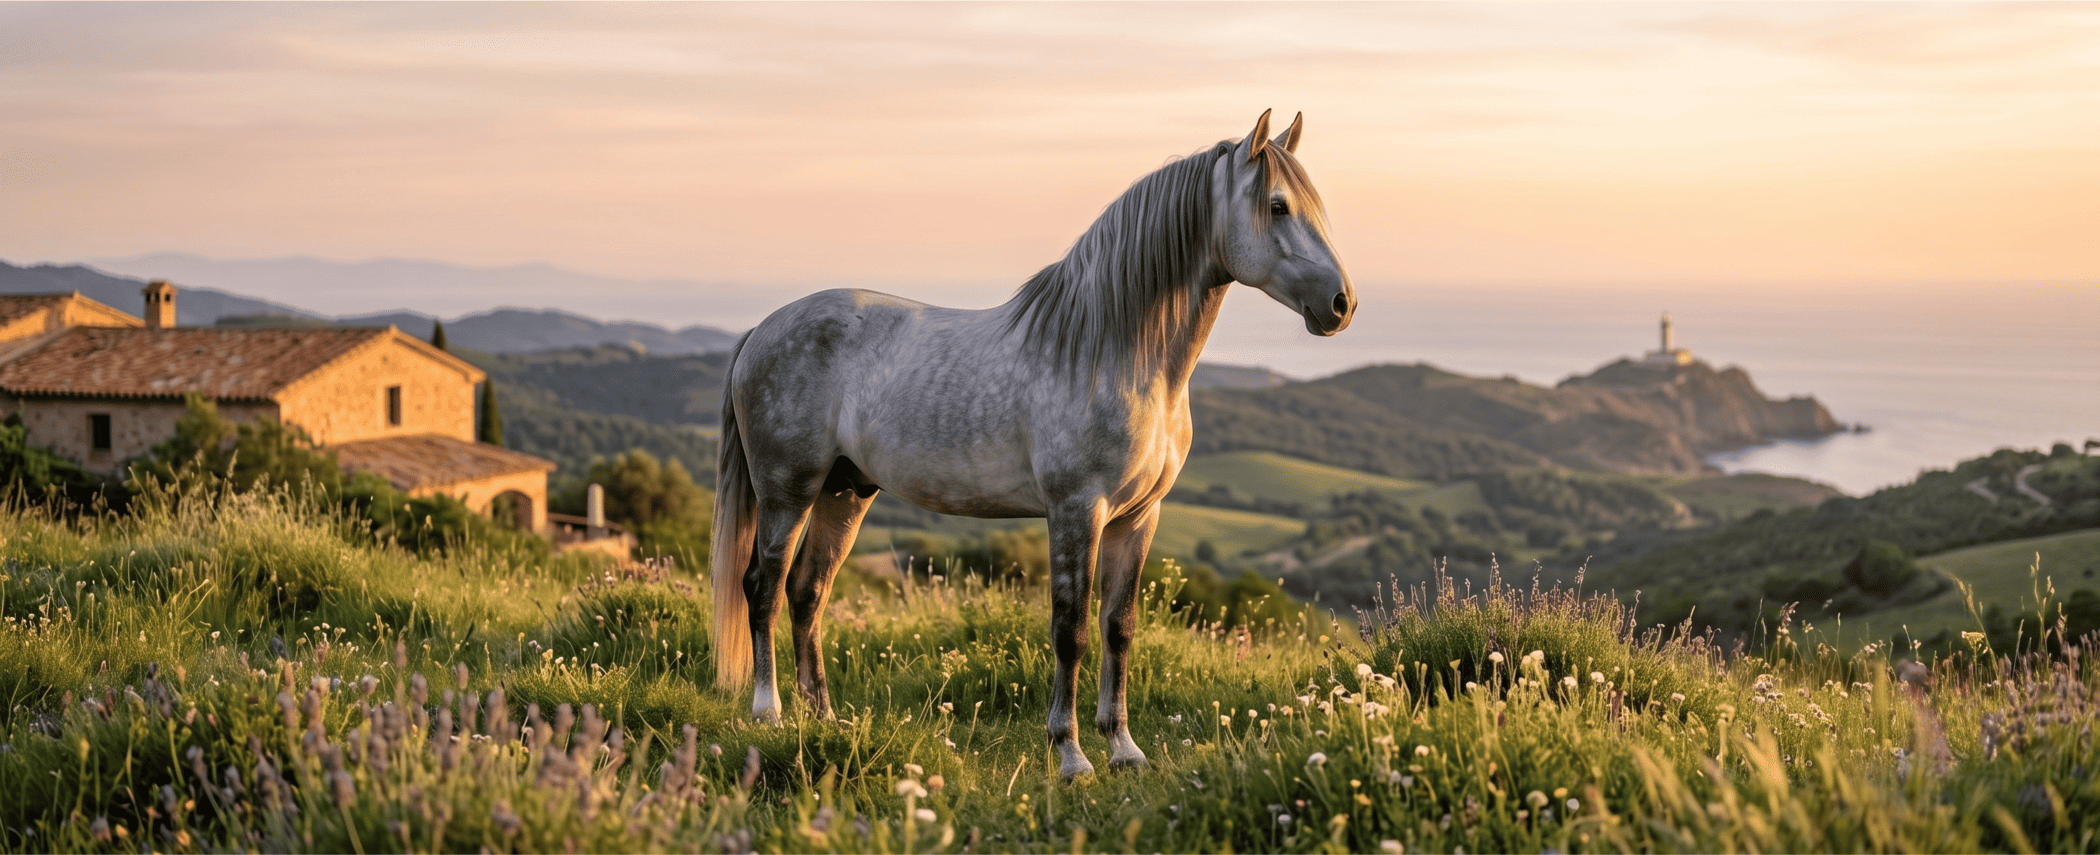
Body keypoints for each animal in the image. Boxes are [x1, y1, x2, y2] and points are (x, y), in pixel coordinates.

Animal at [711, 110, 1353, 779]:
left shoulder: (1139, 517)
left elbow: (1118, 627)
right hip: (787, 491)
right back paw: (769, 713)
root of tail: (760, 330)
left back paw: (825, 718)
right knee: (762, 586)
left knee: (807, 591)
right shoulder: (1076, 511)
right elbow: (1070, 629)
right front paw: (1070, 755)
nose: (1341, 304)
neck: (1110, 353)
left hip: (845, 492)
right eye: (1277, 206)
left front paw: (1123, 748)